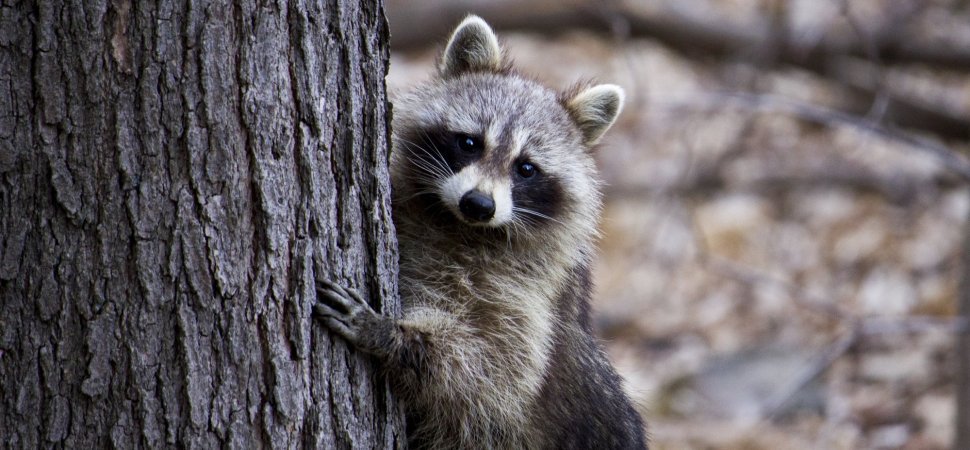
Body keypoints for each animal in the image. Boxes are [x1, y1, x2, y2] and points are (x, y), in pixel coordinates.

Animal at [315, 16, 647, 450]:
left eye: (526, 168)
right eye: (470, 143)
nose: (478, 204)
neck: (456, 225)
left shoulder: (528, 298)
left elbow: (490, 370)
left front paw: (395, 337)